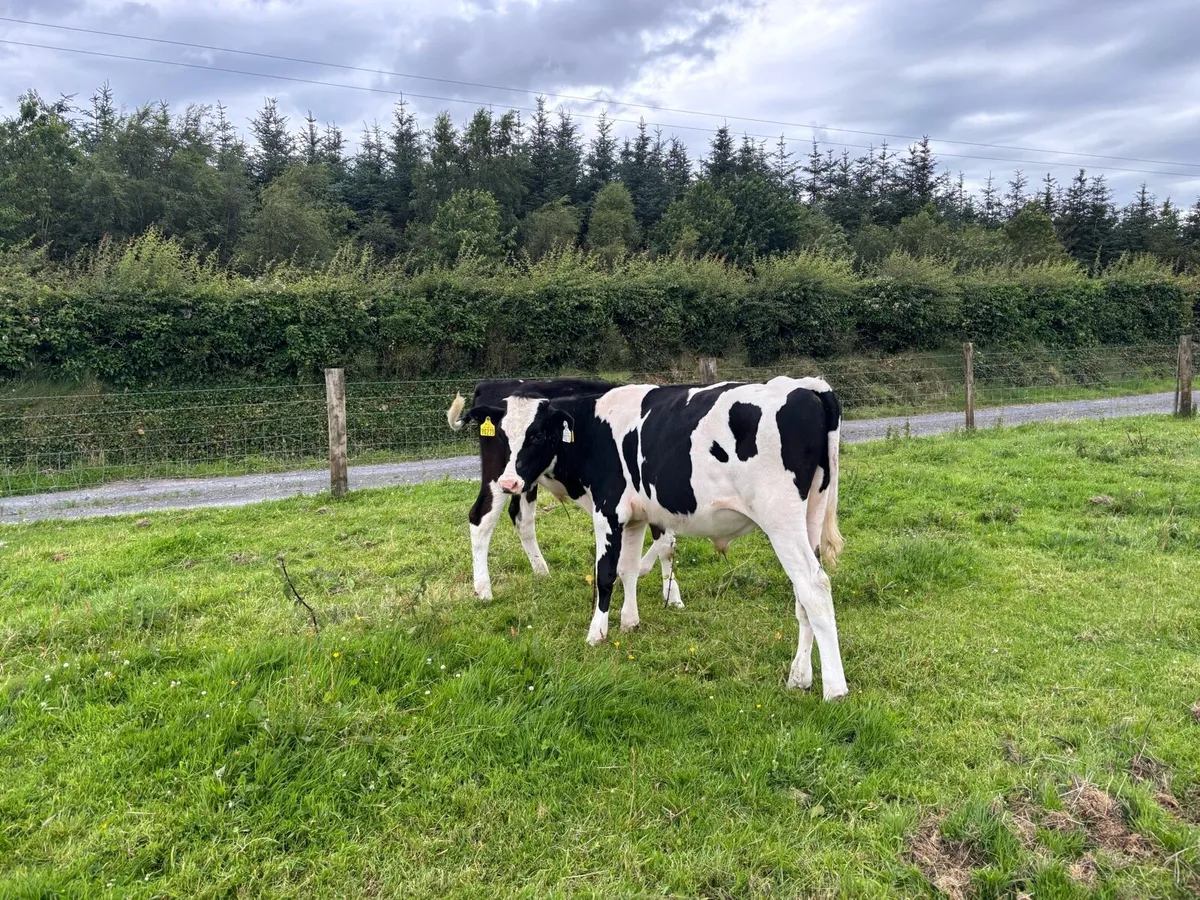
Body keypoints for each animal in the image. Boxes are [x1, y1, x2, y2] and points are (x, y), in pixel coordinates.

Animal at [447, 378, 683, 607]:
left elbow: (667, 541)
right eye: (503, 437)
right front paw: (660, 585)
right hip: (499, 475)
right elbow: (665, 542)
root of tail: (490, 383)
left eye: (538, 436)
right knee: (481, 517)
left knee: (521, 518)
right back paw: (483, 590)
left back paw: (541, 572)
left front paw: (670, 595)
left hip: (523, 480)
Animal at [485, 376, 849, 701]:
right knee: (803, 595)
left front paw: (597, 633)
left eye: (537, 435)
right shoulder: (635, 516)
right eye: (502, 435)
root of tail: (807, 386)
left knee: (814, 586)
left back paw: (835, 690)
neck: (593, 429)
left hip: (781, 518)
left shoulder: (608, 509)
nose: (508, 482)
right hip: (810, 517)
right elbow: (628, 569)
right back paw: (799, 677)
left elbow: (605, 574)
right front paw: (629, 621)